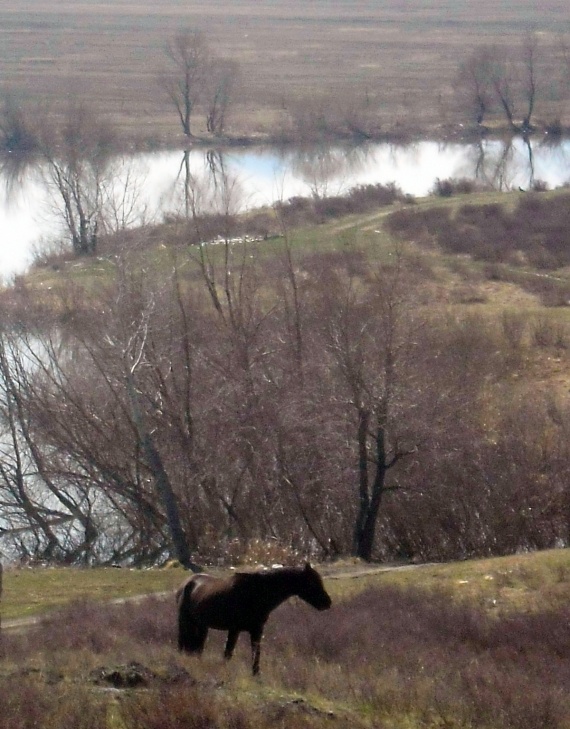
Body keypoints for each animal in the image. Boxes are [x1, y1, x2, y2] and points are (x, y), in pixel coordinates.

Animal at [175, 560, 330, 672]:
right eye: (312, 582)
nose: (327, 602)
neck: (256, 594)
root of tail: (185, 584)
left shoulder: (257, 630)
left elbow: (256, 656)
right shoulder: (234, 629)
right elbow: (228, 653)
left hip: (202, 626)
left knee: (197, 648)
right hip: (185, 623)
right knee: (183, 646)